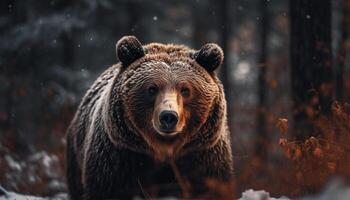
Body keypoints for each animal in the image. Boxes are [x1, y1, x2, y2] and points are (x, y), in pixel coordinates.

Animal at [67, 36, 234, 200]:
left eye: (185, 90)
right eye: (152, 88)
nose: (168, 116)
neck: (163, 149)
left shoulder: (202, 156)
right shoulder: (118, 157)